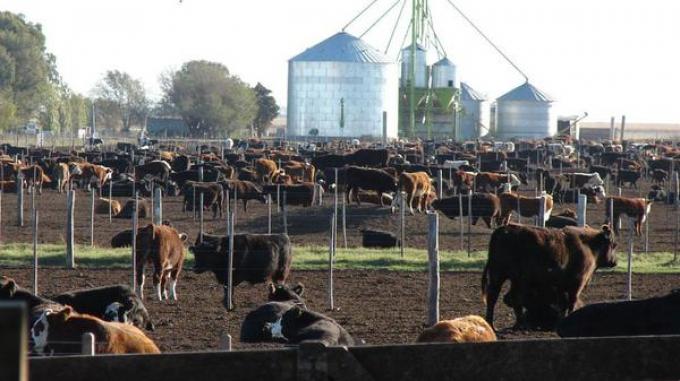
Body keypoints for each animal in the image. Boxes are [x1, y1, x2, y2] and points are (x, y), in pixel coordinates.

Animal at [480, 224, 620, 328]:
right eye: (614, 244)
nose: (615, 262)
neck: (588, 245)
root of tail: (503, 229)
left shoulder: (561, 286)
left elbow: (563, 303)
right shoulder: (577, 283)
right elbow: (571, 302)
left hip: (511, 279)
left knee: (509, 299)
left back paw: (513, 324)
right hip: (500, 276)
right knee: (496, 298)